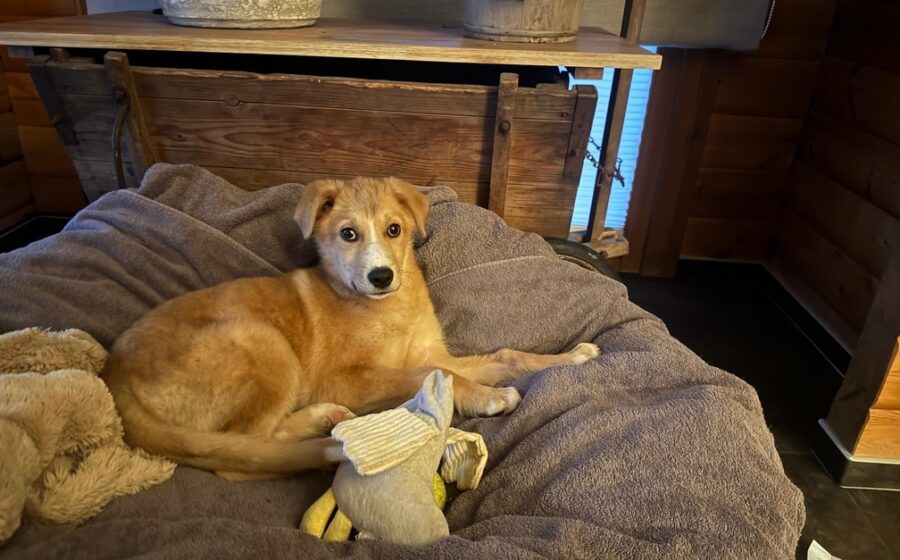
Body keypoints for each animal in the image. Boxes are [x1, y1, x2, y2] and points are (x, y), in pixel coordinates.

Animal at [102, 177, 599, 481]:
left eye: (394, 229)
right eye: (348, 234)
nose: (381, 276)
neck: (389, 308)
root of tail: (112, 376)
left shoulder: (433, 352)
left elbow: (502, 357)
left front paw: (572, 356)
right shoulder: (344, 377)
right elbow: (430, 376)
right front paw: (488, 397)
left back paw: (324, 419)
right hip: (264, 345)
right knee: (240, 451)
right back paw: (327, 438)